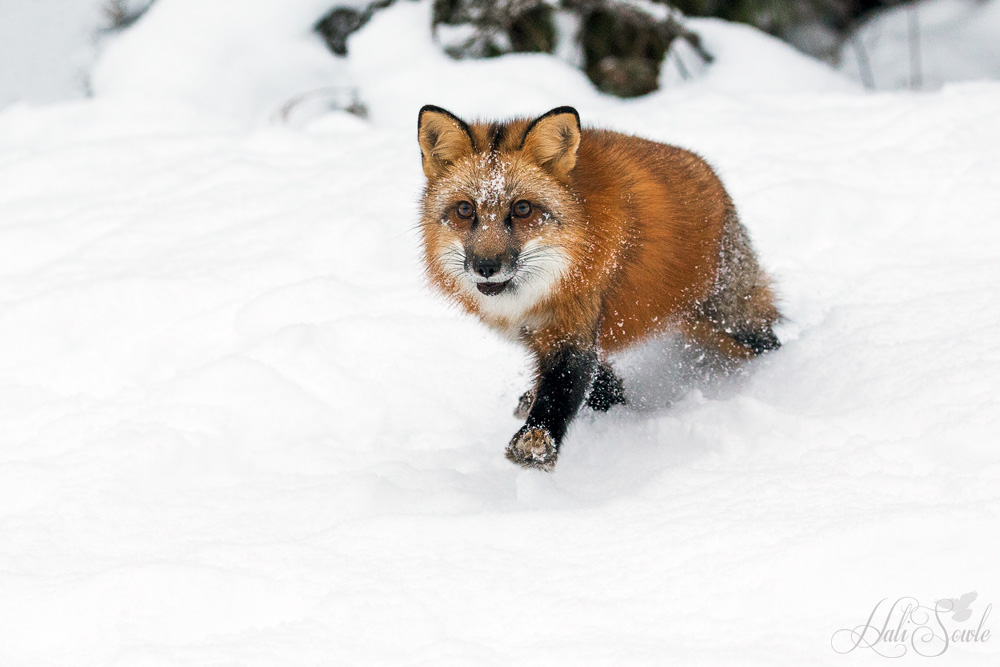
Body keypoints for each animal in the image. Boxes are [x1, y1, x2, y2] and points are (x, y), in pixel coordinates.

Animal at [417, 105, 781, 472]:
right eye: (465, 209)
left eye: (522, 208)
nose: (486, 266)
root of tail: (711, 174)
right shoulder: (552, 333)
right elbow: (594, 386)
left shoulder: (575, 324)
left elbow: (562, 389)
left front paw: (535, 442)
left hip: (730, 323)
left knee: (766, 339)